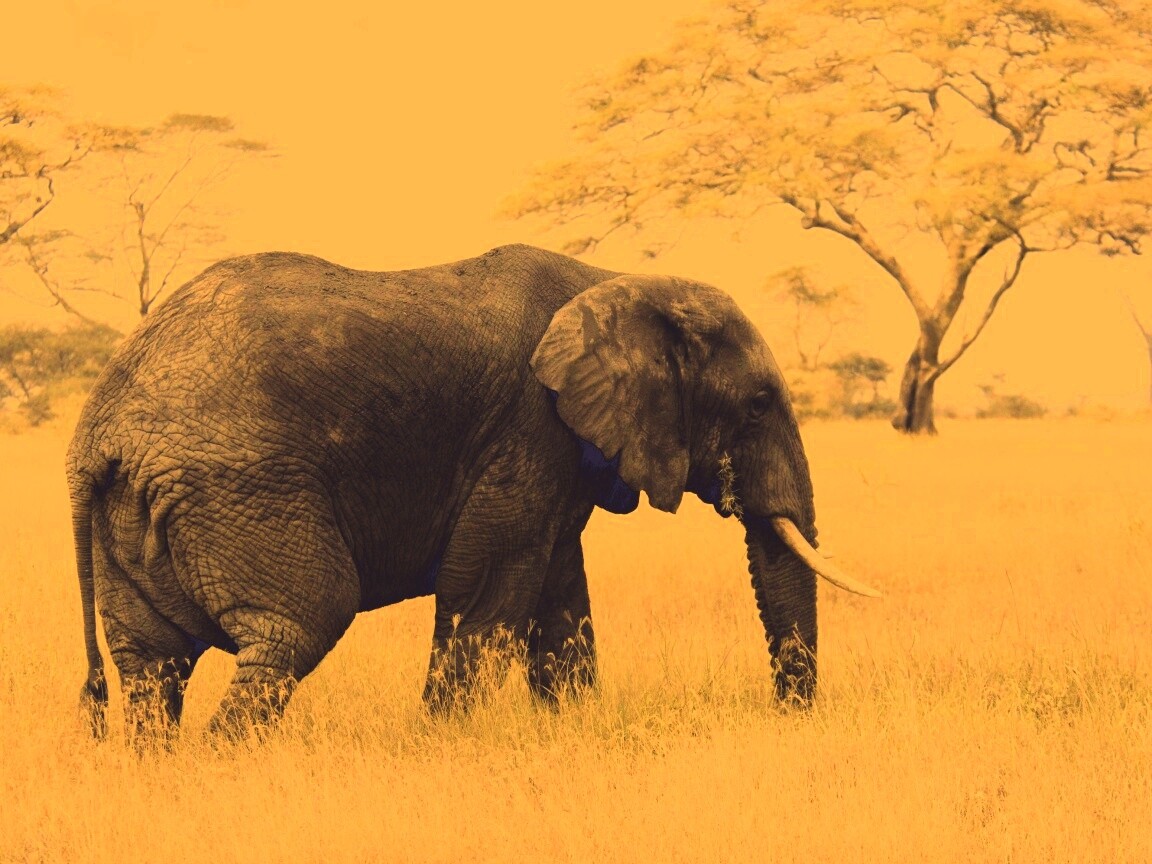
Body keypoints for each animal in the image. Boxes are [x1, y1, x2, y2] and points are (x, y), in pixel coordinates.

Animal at [68, 243, 878, 739]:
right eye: (758, 404)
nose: (786, 718)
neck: (615, 280)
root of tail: (96, 433)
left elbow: (558, 596)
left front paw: (569, 730)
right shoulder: (527, 426)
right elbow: (487, 585)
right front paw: (441, 743)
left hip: (139, 511)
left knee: (152, 665)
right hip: (240, 487)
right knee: (298, 623)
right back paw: (225, 766)